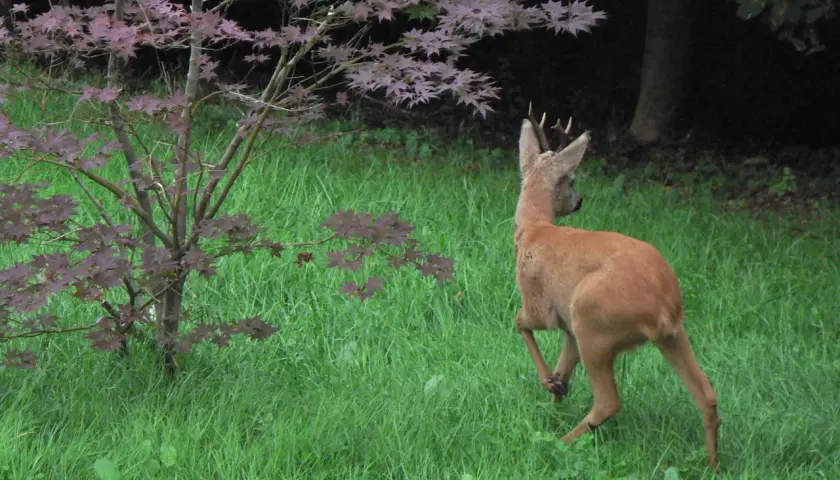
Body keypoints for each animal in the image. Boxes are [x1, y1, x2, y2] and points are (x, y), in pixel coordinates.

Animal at [512, 104, 721, 469]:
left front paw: (548, 387)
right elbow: (564, 369)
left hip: (593, 322)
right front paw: (554, 393)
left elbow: (518, 322)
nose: (579, 201)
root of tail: (663, 307)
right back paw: (712, 465)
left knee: (608, 401)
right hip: (672, 334)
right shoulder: (568, 330)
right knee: (706, 393)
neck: (534, 231)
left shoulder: (542, 307)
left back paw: (559, 445)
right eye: (572, 181)